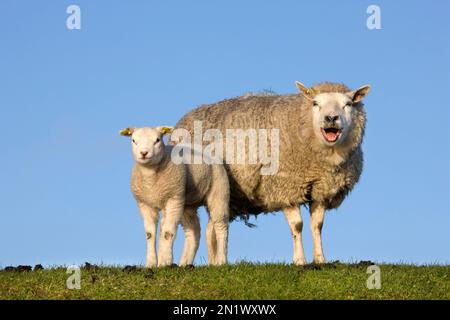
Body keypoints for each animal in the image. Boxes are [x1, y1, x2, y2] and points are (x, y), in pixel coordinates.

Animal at [120, 126, 229, 266]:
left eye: (157, 140)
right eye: (133, 140)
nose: (144, 153)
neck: (151, 178)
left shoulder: (173, 199)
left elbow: (167, 232)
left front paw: (165, 262)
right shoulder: (145, 204)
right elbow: (150, 234)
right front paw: (151, 263)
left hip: (219, 191)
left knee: (221, 225)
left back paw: (221, 260)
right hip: (187, 202)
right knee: (193, 231)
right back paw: (184, 263)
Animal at [171, 81, 370, 264]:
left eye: (348, 104)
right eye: (315, 103)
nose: (331, 118)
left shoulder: (321, 189)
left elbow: (317, 226)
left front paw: (320, 260)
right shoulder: (285, 187)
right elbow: (297, 226)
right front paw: (300, 261)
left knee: (211, 228)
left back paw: (214, 263)